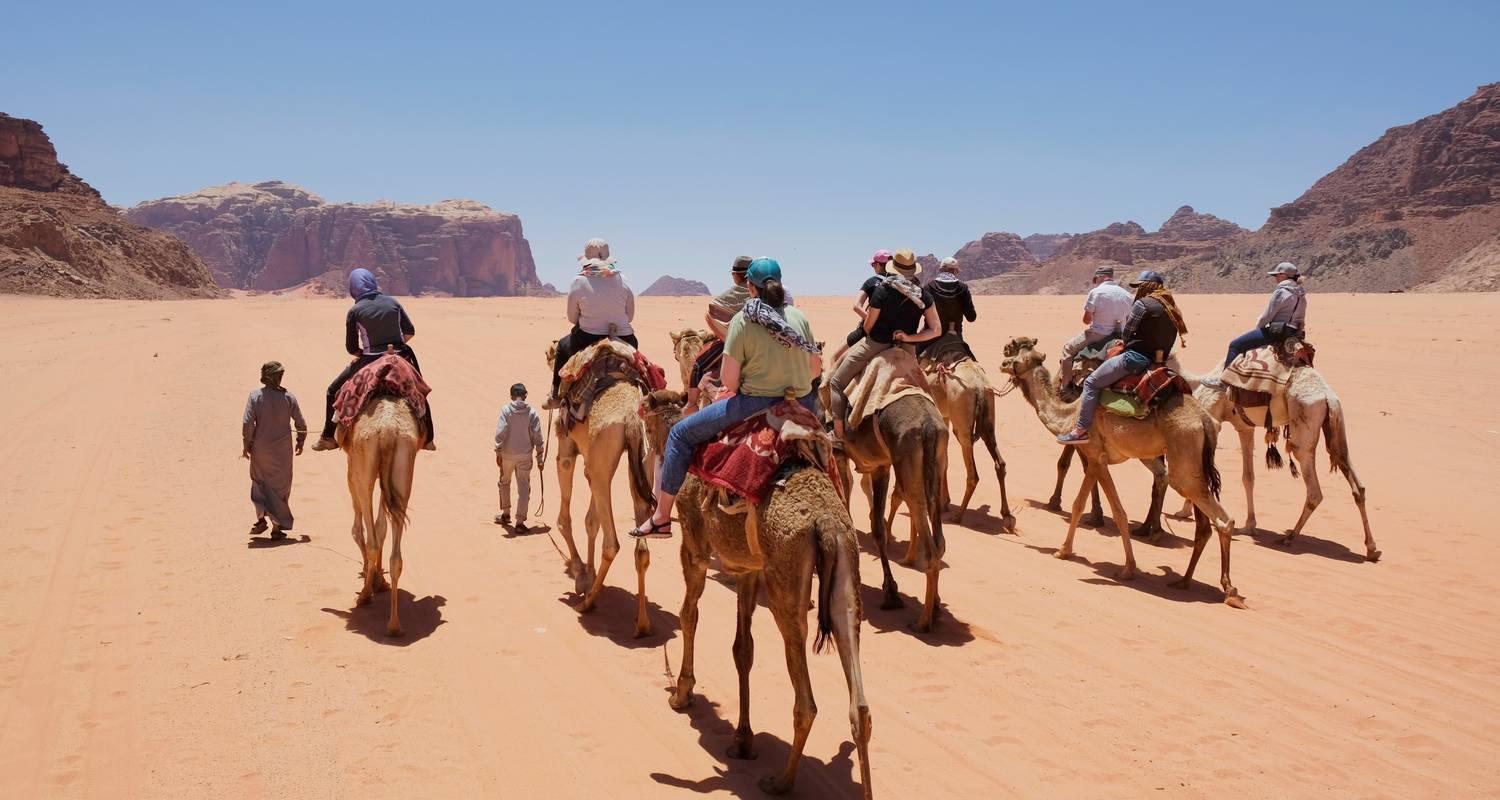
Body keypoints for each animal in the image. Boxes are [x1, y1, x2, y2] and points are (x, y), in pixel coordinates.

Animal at [339, 393, 423, 636]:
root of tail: (388, 431)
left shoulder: (352, 468)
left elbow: (360, 529)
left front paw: (371, 576)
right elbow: (381, 527)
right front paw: (379, 580)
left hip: (364, 466)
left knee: (370, 537)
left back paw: (365, 596)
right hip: (403, 467)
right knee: (395, 553)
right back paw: (394, 624)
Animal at [543, 340, 654, 633]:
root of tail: (631, 417)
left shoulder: (568, 449)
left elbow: (565, 519)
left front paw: (580, 574)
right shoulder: (592, 465)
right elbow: (591, 521)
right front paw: (588, 574)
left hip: (602, 459)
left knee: (612, 543)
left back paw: (587, 603)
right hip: (642, 464)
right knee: (641, 548)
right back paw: (642, 623)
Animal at [639, 393, 876, 798]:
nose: (646, 448)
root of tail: (825, 522)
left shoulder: (695, 545)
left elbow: (689, 615)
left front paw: (682, 694)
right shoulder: (748, 567)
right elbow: (742, 649)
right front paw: (742, 739)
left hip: (786, 581)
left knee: (806, 702)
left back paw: (780, 781)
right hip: (846, 571)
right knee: (859, 701)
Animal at [996, 334, 1254, 606]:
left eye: (1016, 358)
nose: (1002, 363)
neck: (1069, 414)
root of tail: (1205, 421)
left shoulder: (1096, 456)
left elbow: (1108, 510)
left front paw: (1119, 566)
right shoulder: (1095, 460)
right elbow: (1090, 505)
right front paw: (1072, 551)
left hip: (1184, 464)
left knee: (1222, 519)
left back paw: (1229, 590)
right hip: (1194, 466)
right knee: (1204, 523)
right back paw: (1184, 580)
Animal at [1170, 358, 1380, 558]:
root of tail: (1329, 397)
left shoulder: (1212, 418)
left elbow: (1203, 474)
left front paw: (1184, 511)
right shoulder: (1244, 427)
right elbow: (1248, 477)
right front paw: (1249, 525)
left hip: (1303, 434)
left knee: (1314, 492)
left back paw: (1290, 537)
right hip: (1336, 428)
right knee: (1355, 482)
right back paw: (1372, 548)